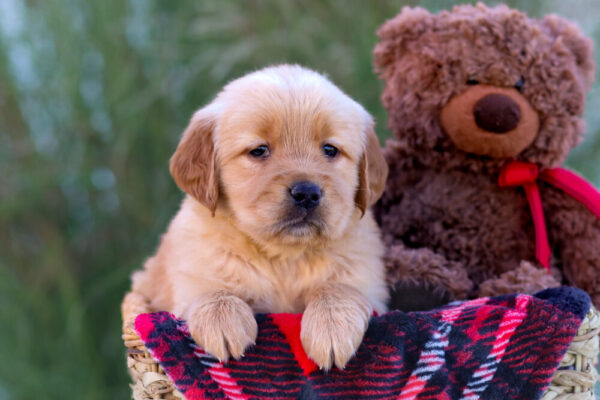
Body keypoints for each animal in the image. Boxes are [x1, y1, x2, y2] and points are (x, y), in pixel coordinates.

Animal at [131, 65, 390, 368]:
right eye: (258, 150)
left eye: (330, 150)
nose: (307, 193)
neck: (285, 258)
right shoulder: (193, 276)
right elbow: (213, 291)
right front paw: (222, 321)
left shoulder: (367, 282)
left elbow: (338, 288)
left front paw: (331, 325)